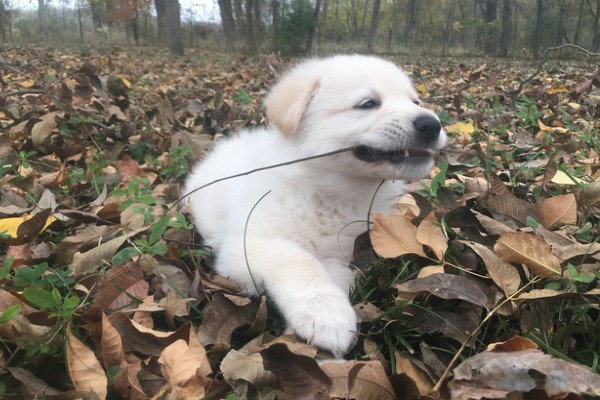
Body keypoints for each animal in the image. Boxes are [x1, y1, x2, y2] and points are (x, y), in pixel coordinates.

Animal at [185, 54, 448, 356]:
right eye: (367, 103)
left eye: (414, 101)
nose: (432, 124)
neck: (328, 193)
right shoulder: (245, 245)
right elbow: (299, 260)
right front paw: (324, 314)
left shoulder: (341, 253)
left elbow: (335, 275)